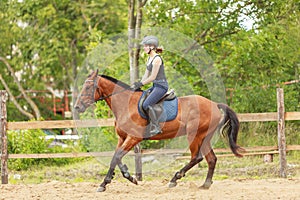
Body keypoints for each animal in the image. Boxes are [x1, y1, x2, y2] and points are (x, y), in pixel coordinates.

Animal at [74, 70, 245, 192]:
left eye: (88, 87)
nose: (77, 107)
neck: (125, 105)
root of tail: (214, 104)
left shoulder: (134, 138)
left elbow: (116, 156)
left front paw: (107, 183)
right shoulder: (122, 138)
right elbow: (116, 157)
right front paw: (125, 178)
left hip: (194, 135)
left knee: (197, 157)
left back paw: (175, 179)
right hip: (205, 137)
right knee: (211, 159)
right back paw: (205, 184)